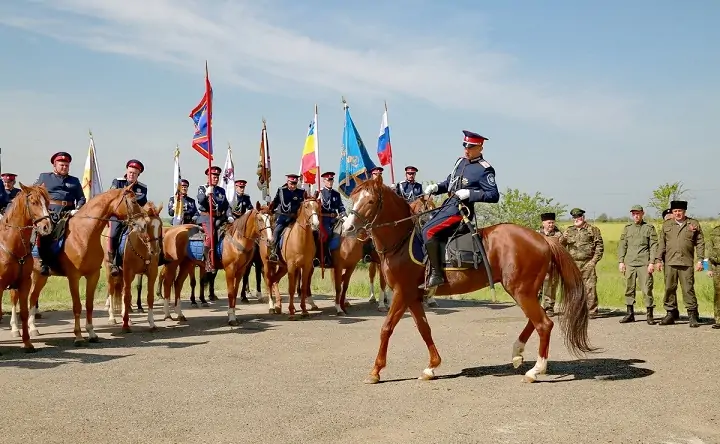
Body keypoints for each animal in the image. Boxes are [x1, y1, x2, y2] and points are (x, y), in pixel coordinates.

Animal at [1, 183, 52, 350]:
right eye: (34, 202)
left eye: (47, 203)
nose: (46, 227)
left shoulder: (25, 281)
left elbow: (24, 310)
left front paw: (28, 342)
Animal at [25, 186, 146, 346]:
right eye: (133, 201)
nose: (144, 224)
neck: (83, 234)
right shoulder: (74, 277)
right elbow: (77, 306)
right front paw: (78, 336)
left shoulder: (93, 275)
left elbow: (89, 305)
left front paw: (91, 333)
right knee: (30, 298)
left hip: (41, 276)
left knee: (33, 298)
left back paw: (33, 328)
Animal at [102, 201, 163, 330]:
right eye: (146, 226)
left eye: (160, 226)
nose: (155, 251)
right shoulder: (128, 273)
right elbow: (127, 296)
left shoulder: (152, 273)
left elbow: (150, 297)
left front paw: (152, 322)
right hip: (110, 271)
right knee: (111, 291)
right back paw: (112, 317)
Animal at [340, 179, 592, 384]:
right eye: (353, 198)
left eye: (371, 200)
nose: (348, 228)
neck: (402, 241)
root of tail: (542, 239)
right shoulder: (413, 295)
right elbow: (424, 328)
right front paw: (431, 367)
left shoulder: (403, 292)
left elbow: (386, 328)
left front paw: (375, 371)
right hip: (525, 290)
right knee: (537, 320)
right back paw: (517, 353)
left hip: (521, 290)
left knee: (544, 324)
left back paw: (535, 371)